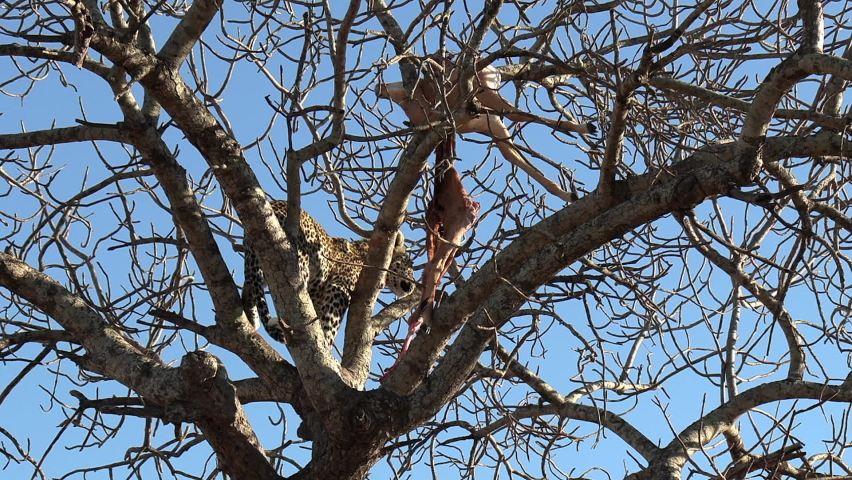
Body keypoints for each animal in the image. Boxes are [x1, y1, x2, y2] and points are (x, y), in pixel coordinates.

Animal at [242, 200, 415, 345]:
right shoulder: (340, 287)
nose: (413, 286)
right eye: (410, 265)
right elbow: (332, 321)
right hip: (297, 258)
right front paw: (327, 343)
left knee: (250, 282)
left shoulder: (319, 298)